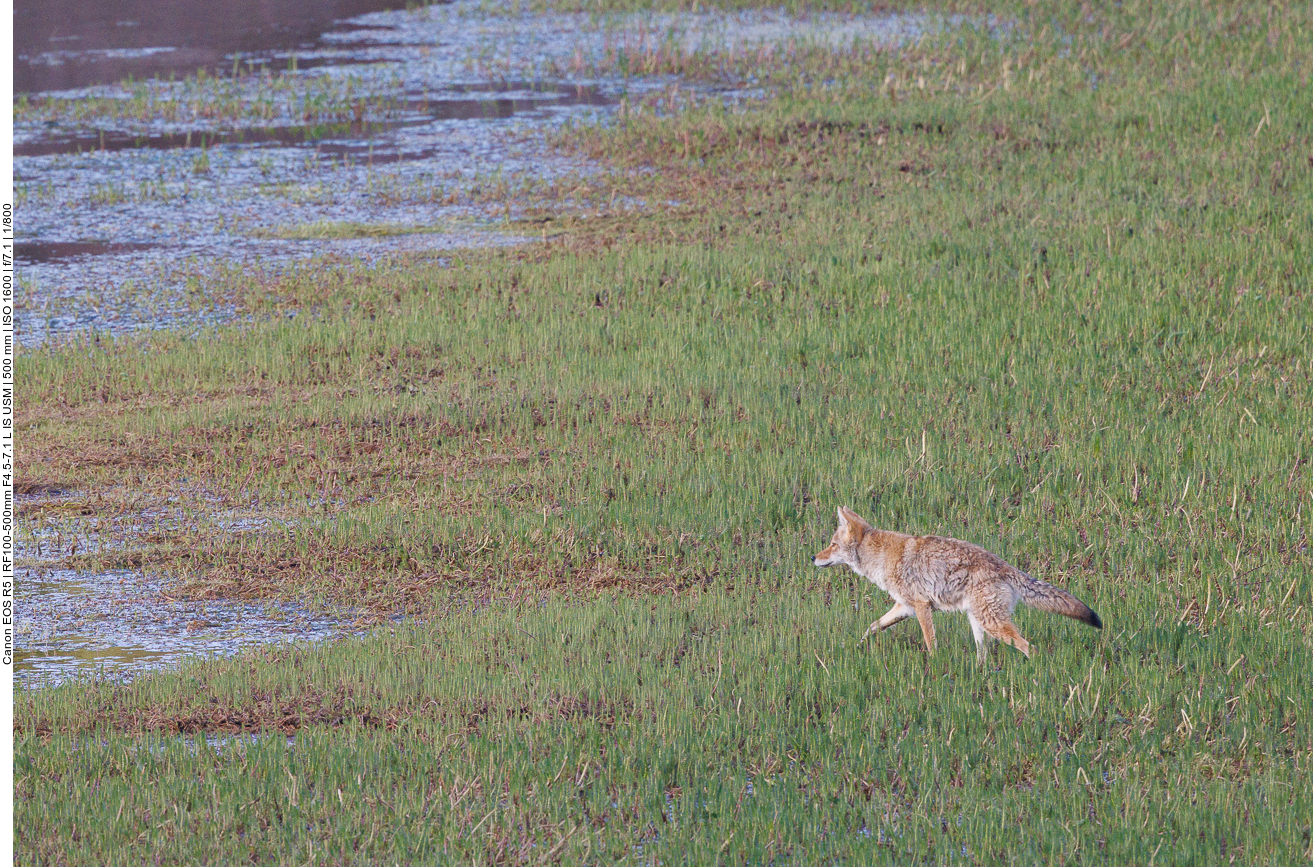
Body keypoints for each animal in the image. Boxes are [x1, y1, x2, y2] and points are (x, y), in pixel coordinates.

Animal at [814, 504, 1102, 659]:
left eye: (832, 545)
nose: (813, 557)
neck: (880, 556)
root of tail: (1006, 566)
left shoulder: (921, 606)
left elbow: (930, 643)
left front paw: (934, 668)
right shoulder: (904, 607)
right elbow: (872, 627)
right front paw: (858, 646)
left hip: (991, 623)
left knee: (1028, 648)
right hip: (978, 622)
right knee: (983, 655)